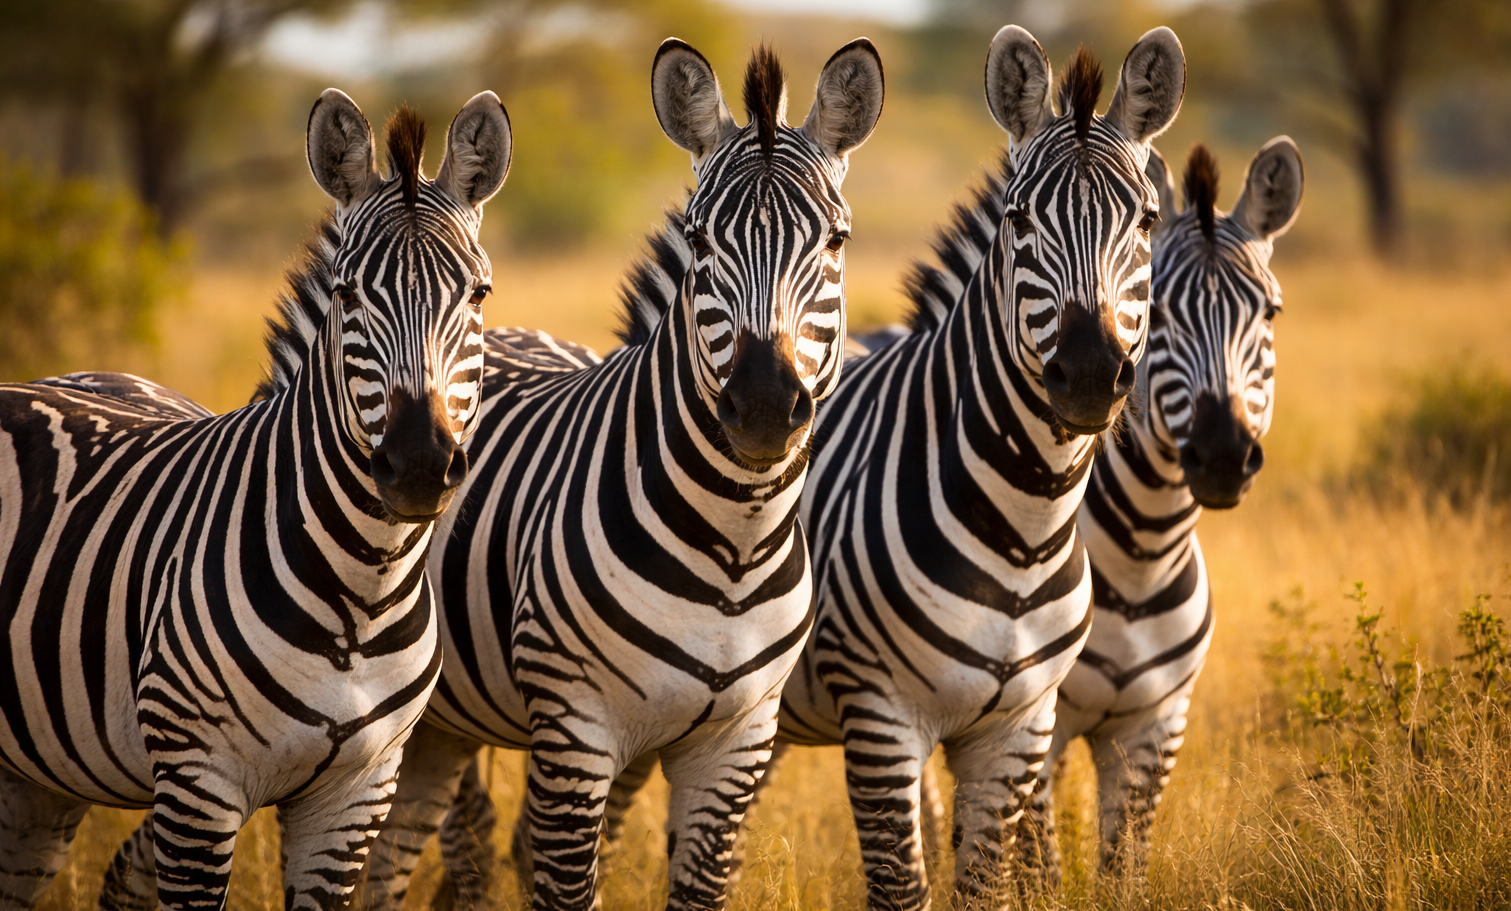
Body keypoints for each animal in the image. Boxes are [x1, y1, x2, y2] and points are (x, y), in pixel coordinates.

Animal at [0, 88, 512, 911]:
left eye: (478, 293)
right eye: (346, 294)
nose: (418, 466)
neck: (362, 595)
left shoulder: (356, 796)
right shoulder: (199, 788)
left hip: (39, 777)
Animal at [348, 39, 886, 911]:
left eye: (835, 242)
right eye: (700, 241)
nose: (763, 406)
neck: (733, 544)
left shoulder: (737, 741)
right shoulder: (576, 730)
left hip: (439, 724)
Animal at [1019, 137, 1304, 880]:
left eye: (1268, 314)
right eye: (1163, 313)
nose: (1223, 454)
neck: (1143, 554)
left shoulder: (1156, 728)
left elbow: (1123, 866)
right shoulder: (1036, 719)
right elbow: (1040, 869)